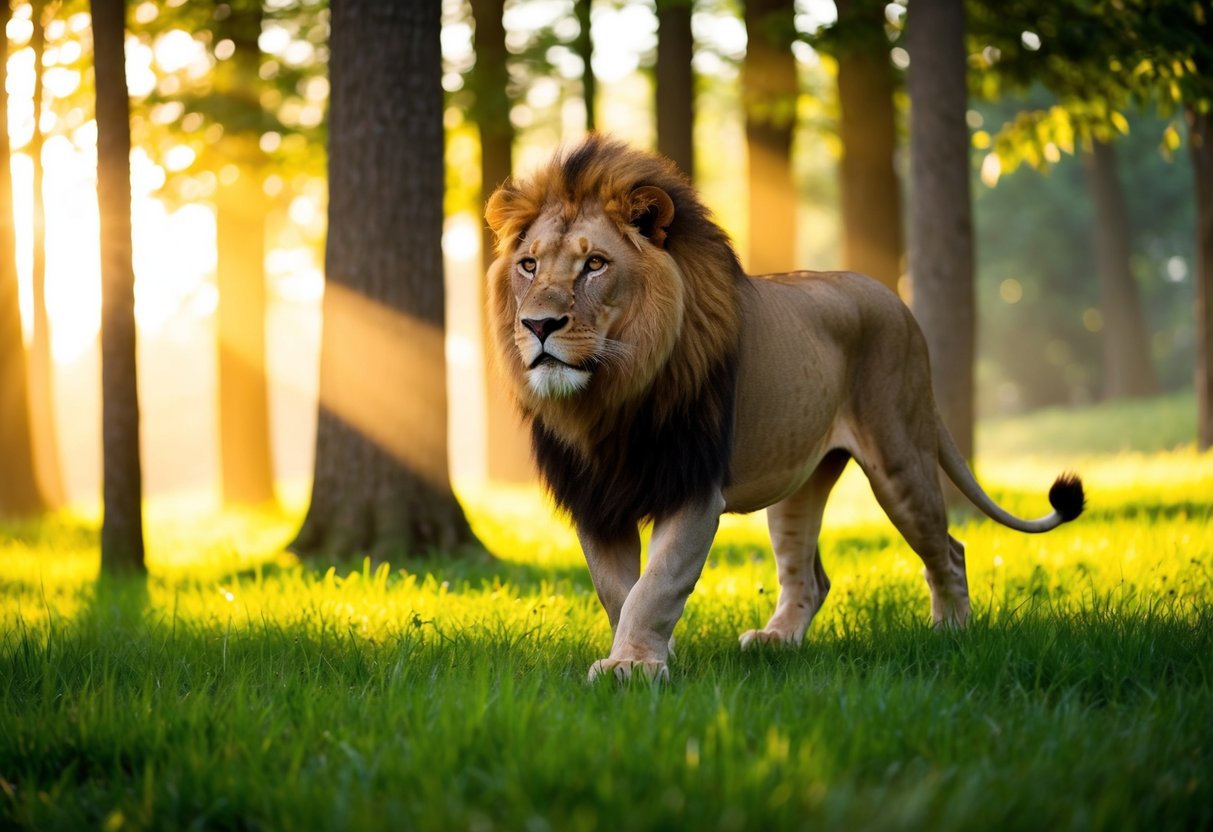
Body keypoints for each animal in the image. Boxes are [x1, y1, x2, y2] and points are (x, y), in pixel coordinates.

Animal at [485, 136, 1084, 682]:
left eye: (595, 264)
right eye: (529, 265)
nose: (538, 325)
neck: (609, 397)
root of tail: (895, 300)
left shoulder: (693, 488)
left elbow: (655, 585)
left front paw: (632, 665)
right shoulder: (597, 500)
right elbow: (619, 590)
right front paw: (644, 656)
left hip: (901, 456)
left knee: (950, 549)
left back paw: (950, 634)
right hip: (798, 484)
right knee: (810, 576)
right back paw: (778, 641)